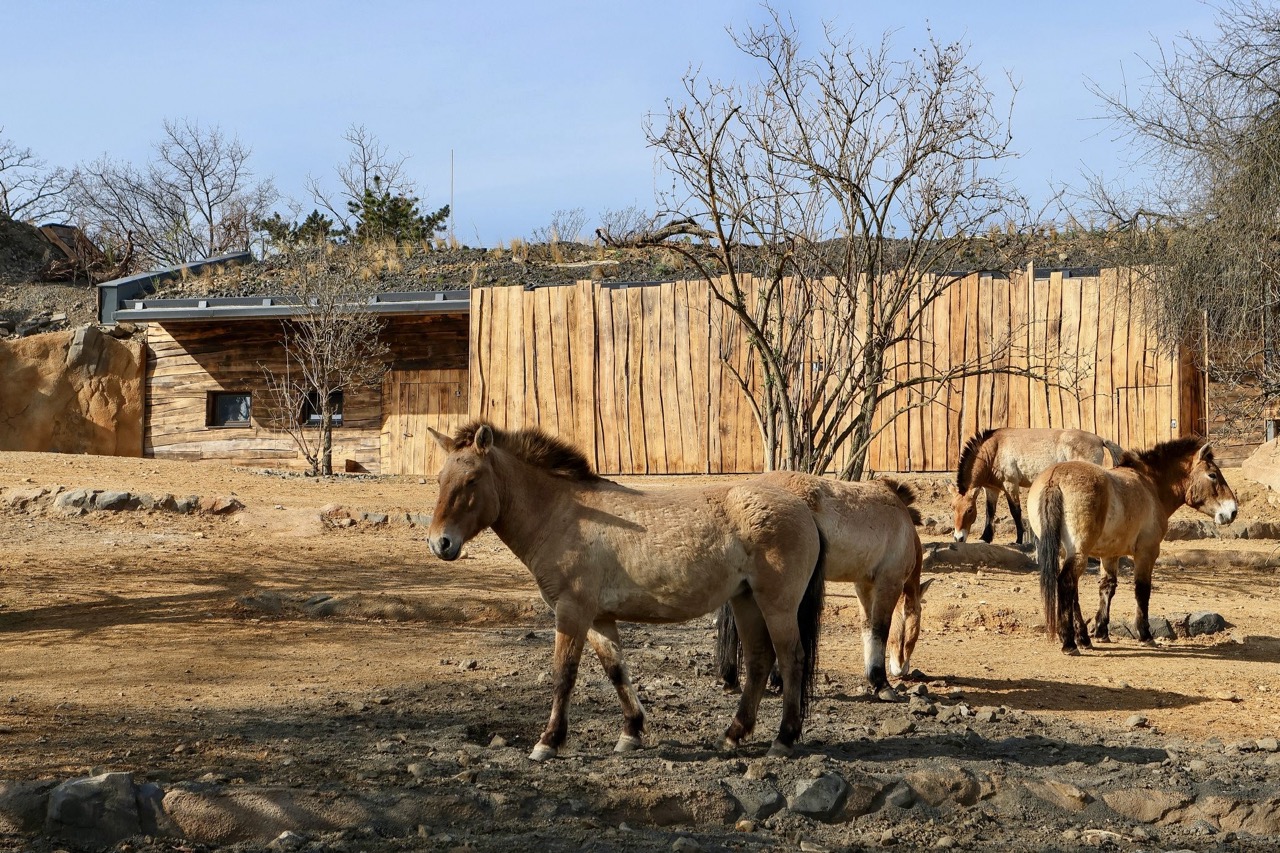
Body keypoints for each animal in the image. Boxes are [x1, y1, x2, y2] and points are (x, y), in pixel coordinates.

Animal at [427, 422, 829, 758]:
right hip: (746, 600)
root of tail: (803, 508)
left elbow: (563, 675)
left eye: (472, 479)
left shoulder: (572, 611)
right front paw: (631, 733)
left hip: (777, 604)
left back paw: (783, 739)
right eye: (441, 479)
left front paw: (548, 742)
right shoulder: (598, 618)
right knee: (760, 660)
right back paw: (733, 734)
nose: (439, 543)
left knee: (791, 659)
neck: (564, 515)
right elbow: (616, 670)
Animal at [716, 471, 926, 696]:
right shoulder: (888, 583)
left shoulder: (864, 586)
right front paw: (882, 684)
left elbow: (867, 627)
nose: (902, 669)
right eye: (913, 631)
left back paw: (731, 679)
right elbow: (880, 629)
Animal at [952, 425, 1121, 545]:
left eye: (969, 509)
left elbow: (1015, 511)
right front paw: (985, 538)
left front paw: (1018, 540)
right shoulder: (992, 489)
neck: (994, 449)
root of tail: (1099, 439)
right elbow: (990, 512)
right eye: (953, 508)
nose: (958, 538)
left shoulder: (1010, 485)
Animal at [1029, 435, 1239, 653]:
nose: (1232, 511)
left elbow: (1107, 587)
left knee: (1073, 591)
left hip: (1067, 553)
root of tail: (1055, 478)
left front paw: (1101, 632)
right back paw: (1069, 643)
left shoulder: (1110, 554)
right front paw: (1145, 635)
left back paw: (1083, 639)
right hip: (1079, 553)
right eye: (1212, 475)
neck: (1150, 484)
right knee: (1066, 583)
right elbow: (1142, 590)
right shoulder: (1147, 552)